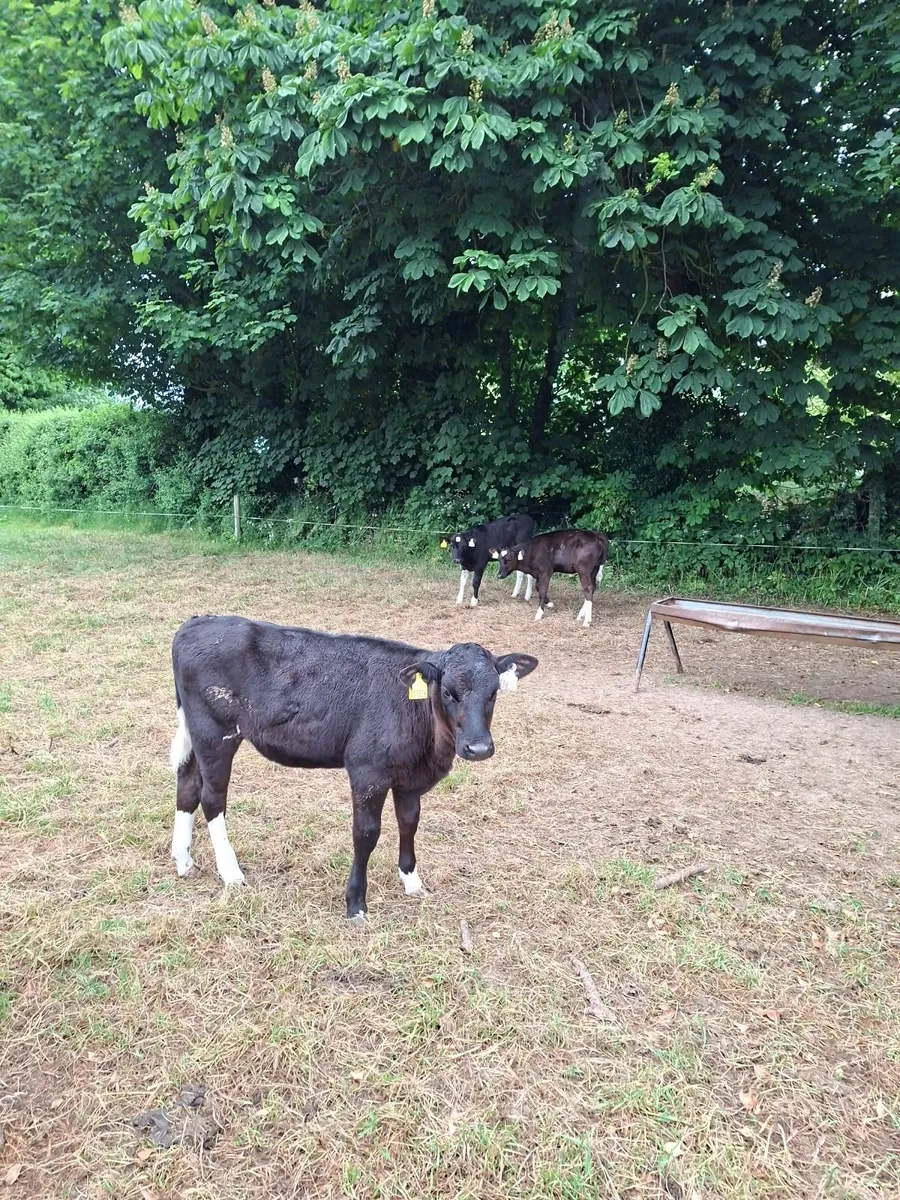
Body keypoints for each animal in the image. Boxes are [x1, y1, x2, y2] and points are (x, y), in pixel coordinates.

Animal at [168, 615, 539, 919]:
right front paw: (356, 903)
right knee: (212, 798)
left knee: (187, 785)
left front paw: (412, 881)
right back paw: (231, 873)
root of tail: (198, 622)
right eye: (448, 692)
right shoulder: (367, 772)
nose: (479, 748)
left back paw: (184, 862)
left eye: (493, 692)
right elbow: (366, 833)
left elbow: (409, 824)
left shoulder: (409, 777)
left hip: (197, 734)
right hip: (215, 734)